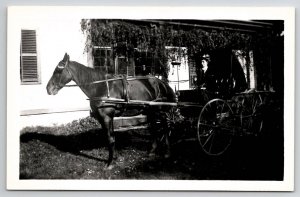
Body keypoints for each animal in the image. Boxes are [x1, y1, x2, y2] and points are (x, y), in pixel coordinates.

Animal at [46, 53, 176, 169]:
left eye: (58, 71)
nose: (48, 89)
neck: (100, 87)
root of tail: (161, 83)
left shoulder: (107, 117)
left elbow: (110, 138)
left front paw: (109, 163)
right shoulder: (104, 118)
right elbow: (110, 137)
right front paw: (113, 159)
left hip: (159, 110)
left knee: (164, 127)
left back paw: (167, 153)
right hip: (150, 111)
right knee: (154, 128)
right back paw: (151, 151)